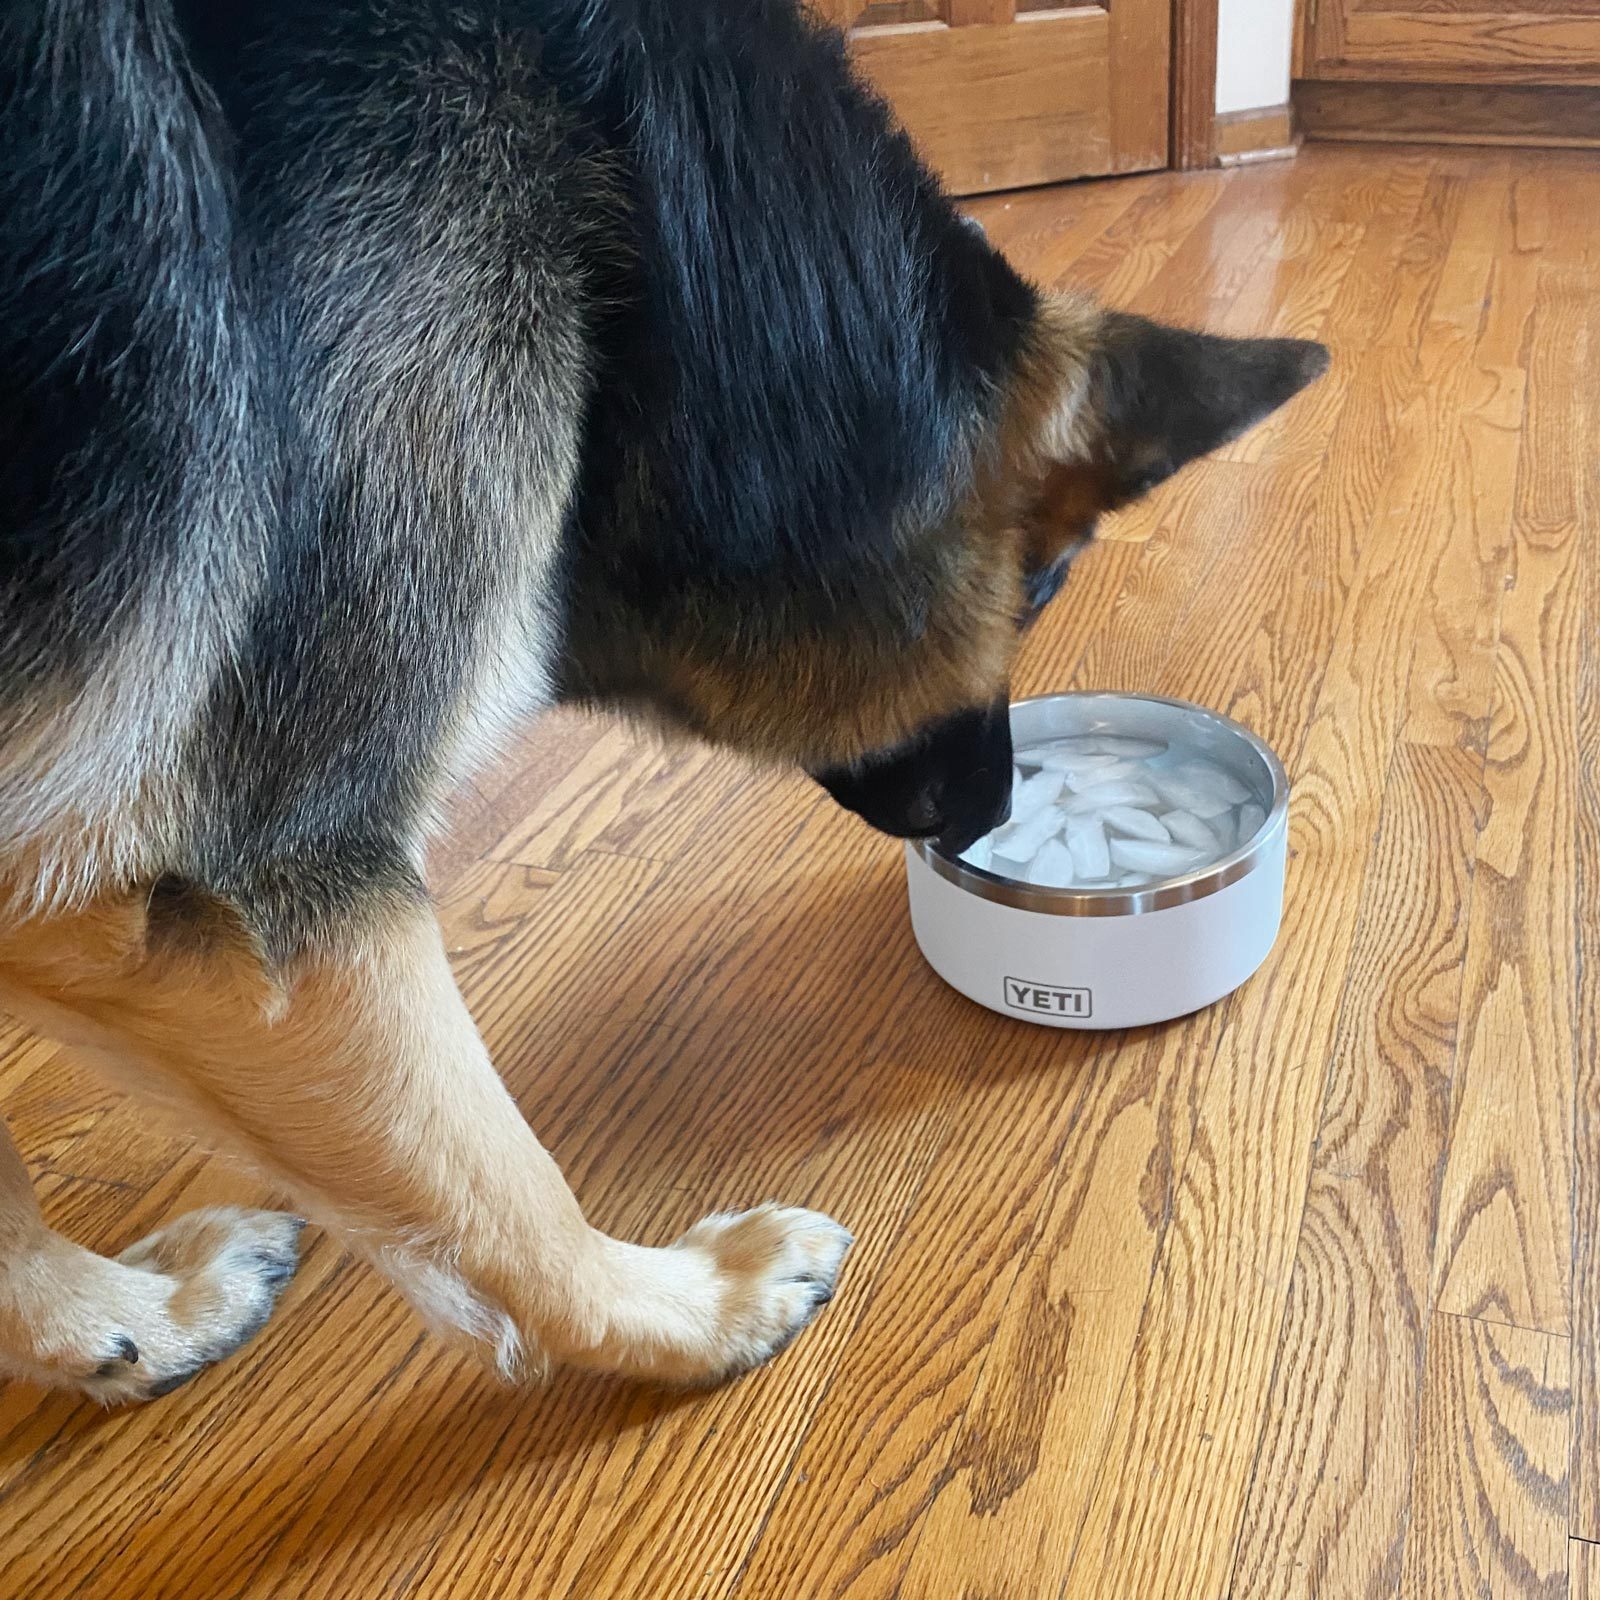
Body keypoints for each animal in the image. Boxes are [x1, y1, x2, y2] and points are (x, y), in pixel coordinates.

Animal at [0, 0, 1324, 1401]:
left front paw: (97, 1318)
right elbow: (503, 1189)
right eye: (1049, 577)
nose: (984, 820)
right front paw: (686, 1310)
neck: (640, 263)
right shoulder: (273, 893)